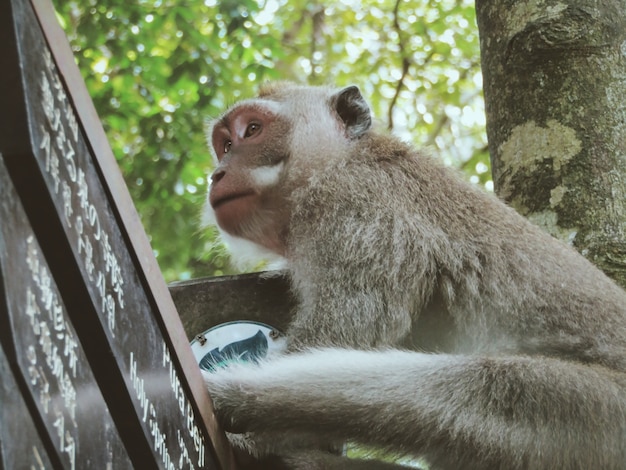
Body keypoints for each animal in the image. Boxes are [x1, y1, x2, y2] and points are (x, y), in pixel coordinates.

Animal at [201, 82, 624, 468]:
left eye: (253, 130)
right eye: (225, 144)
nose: (217, 174)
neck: (337, 163)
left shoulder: (358, 210)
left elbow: (343, 330)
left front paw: (261, 437)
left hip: (596, 413)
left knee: (482, 384)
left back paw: (234, 396)